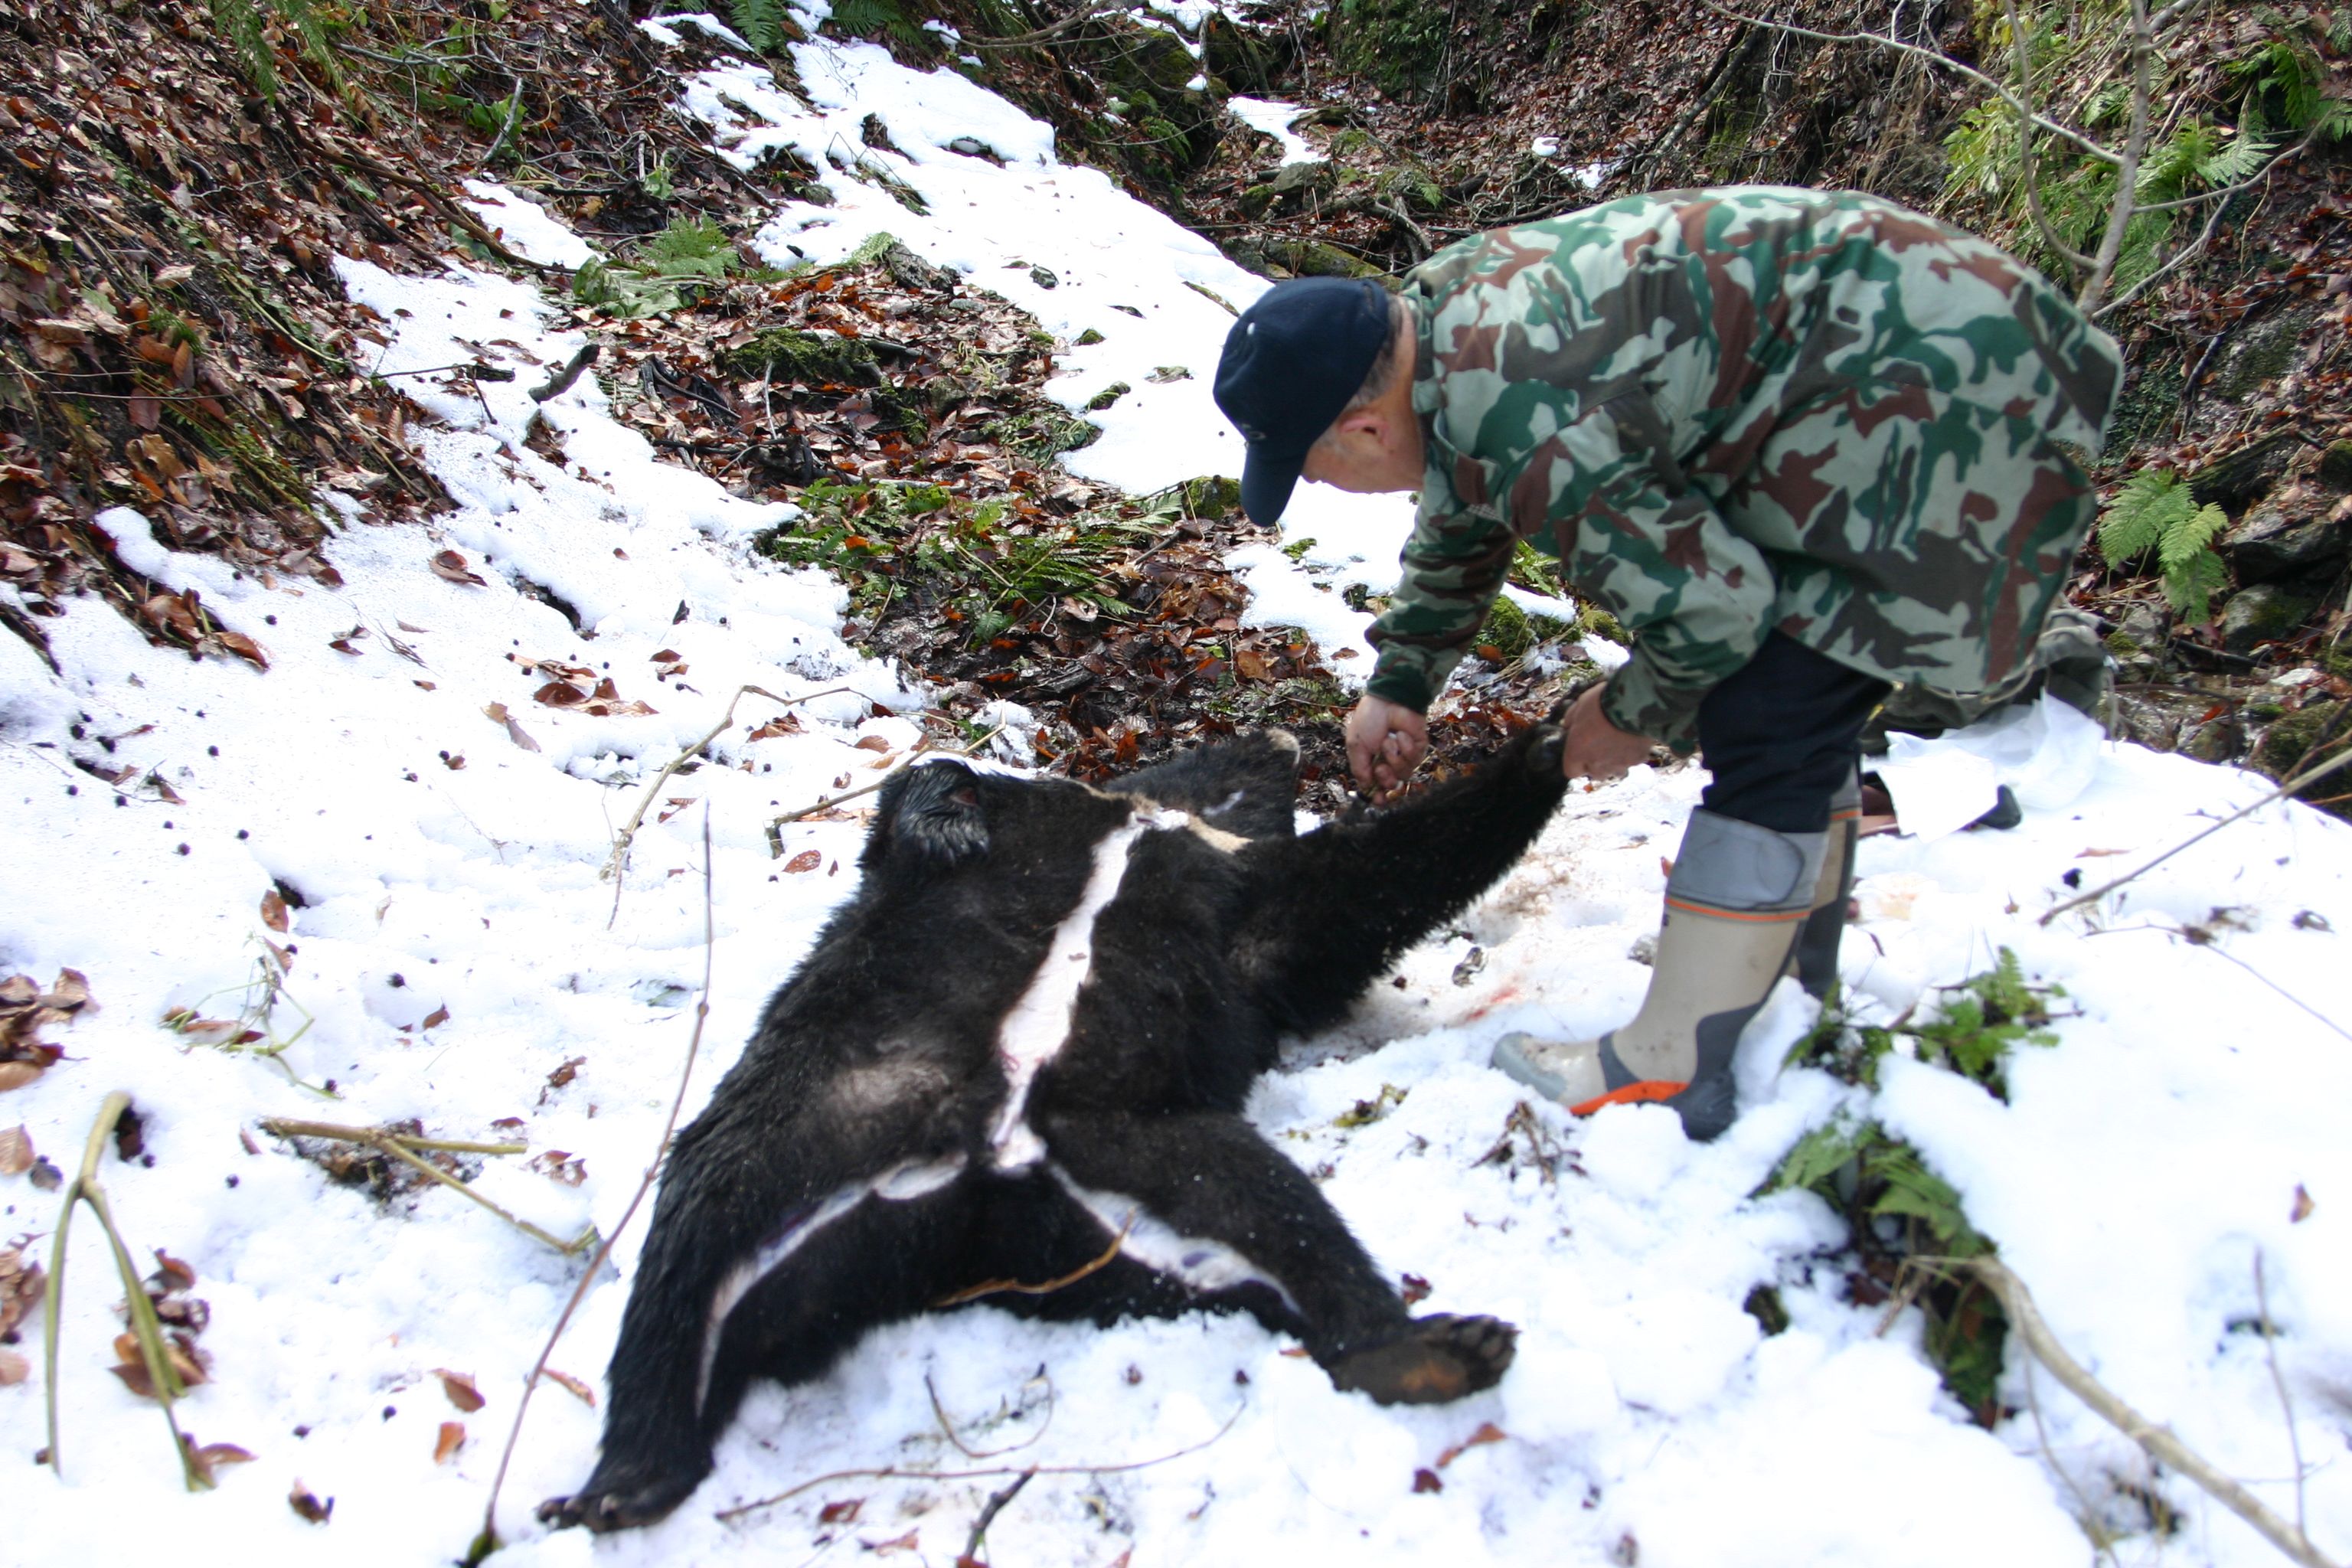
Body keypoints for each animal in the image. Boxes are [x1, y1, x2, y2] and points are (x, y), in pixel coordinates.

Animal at [543, 719, 1571, 1532]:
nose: (1285, 738)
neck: (1144, 815)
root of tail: (980, 1198)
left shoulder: (1237, 905)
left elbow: (1347, 896)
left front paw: (1543, 749)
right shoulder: (1075, 830)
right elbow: (918, 795)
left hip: (1139, 1151)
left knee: (1270, 1214)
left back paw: (1422, 1349)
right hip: (812, 1124)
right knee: (690, 1252)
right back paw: (624, 1480)